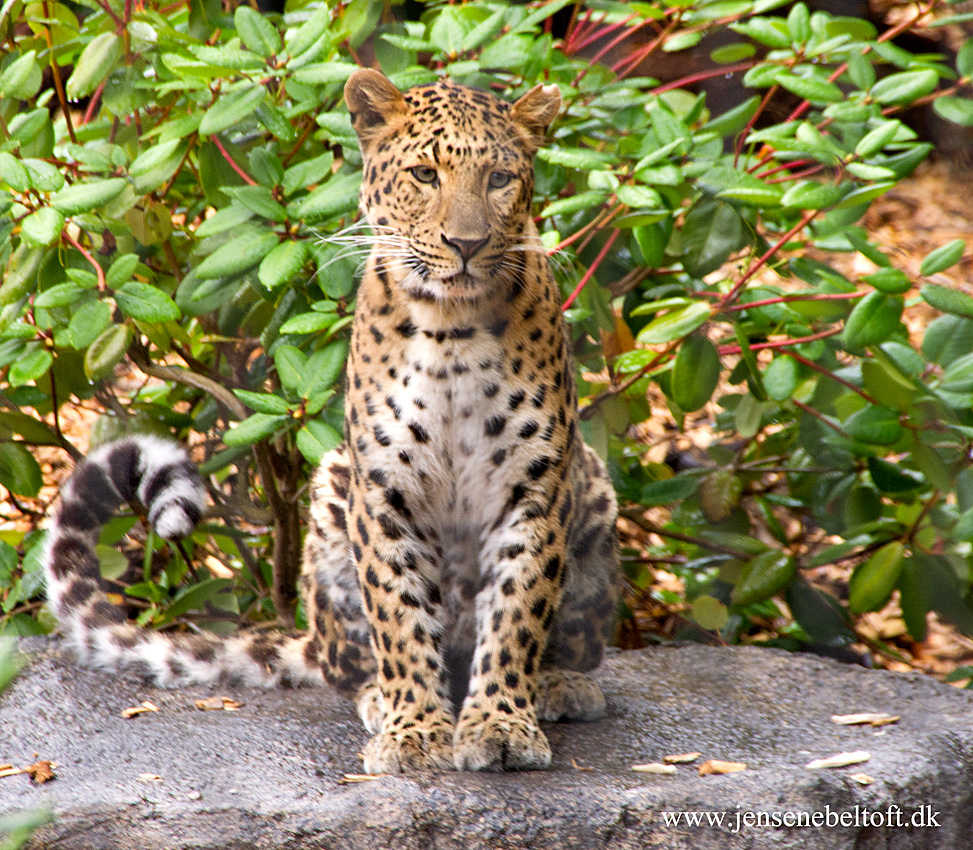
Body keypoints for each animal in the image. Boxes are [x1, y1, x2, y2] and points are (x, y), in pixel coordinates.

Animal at [41, 69, 620, 772]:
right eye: (425, 174)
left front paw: (502, 724)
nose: (468, 243)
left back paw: (560, 685)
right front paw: (414, 731)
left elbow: (517, 609)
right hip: (330, 495)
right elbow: (398, 611)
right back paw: (379, 698)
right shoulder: (383, 486)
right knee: (347, 662)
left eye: (501, 179)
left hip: (592, 488)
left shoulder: (533, 485)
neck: (453, 331)